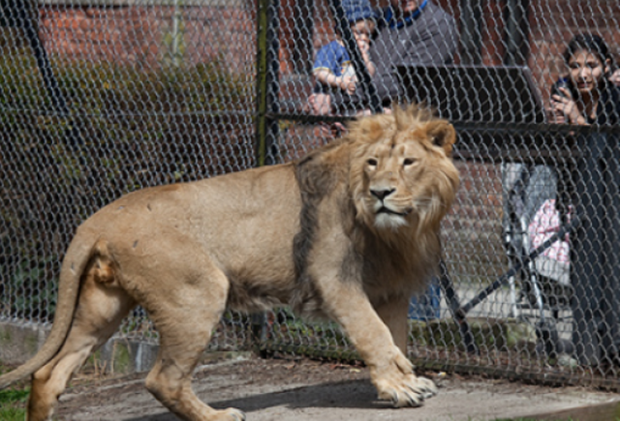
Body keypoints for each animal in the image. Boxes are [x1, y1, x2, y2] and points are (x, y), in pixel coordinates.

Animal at [0, 104, 456, 420]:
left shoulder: (392, 288)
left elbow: (395, 336)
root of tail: (99, 219)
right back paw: (218, 416)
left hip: (103, 306)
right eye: (372, 163)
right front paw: (401, 390)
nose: (380, 192)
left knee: (49, 374)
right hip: (197, 293)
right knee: (162, 379)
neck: (401, 230)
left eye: (409, 162)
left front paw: (405, 381)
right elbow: (374, 333)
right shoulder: (334, 277)